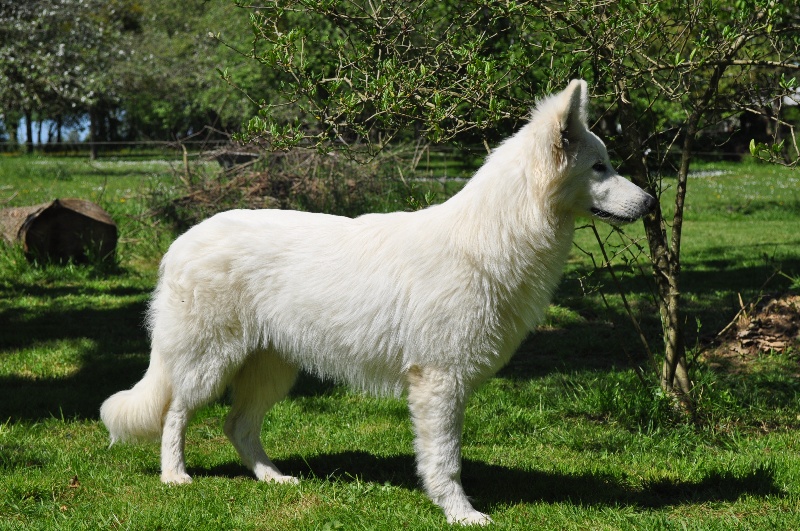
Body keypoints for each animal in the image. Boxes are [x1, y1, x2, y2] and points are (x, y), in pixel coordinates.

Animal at [100, 81, 652, 524]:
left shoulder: (442, 383)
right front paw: (460, 514)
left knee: (236, 426)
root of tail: (182, 241)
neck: (491, 237)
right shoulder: (438, 382)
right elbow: (445, 460)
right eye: (599, 166)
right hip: (209, 363)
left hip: (272, 369)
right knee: (175, 414)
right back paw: (175, 477)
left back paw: (273, 478)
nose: (650, 203)